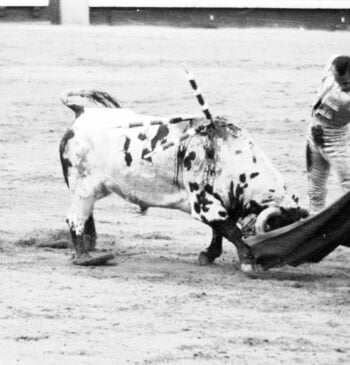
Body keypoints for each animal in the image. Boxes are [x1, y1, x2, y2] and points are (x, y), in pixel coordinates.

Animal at [58, 89, 308, 272]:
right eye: (279, 227)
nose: (291, 260)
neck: (229, 155)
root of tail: (82, 112)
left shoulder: (221, 204)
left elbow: (220, 232)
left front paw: (208, 255)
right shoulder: (205, 204)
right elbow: (232, 231)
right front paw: (248, 262)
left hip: (94, 188)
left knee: (86, 217)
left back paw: (90, 247)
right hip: (85, 186)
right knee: (75, 218)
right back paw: (85, 257)